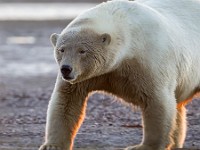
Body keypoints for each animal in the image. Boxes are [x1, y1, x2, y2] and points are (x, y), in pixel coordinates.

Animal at [39, 0, 200, 149]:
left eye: (82, 51)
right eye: (61, 49)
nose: (66, 69)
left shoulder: (149, 61)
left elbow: (157, 100)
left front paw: (144, 146)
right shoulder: (90, 76)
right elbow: (66, 100)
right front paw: (52, 145)